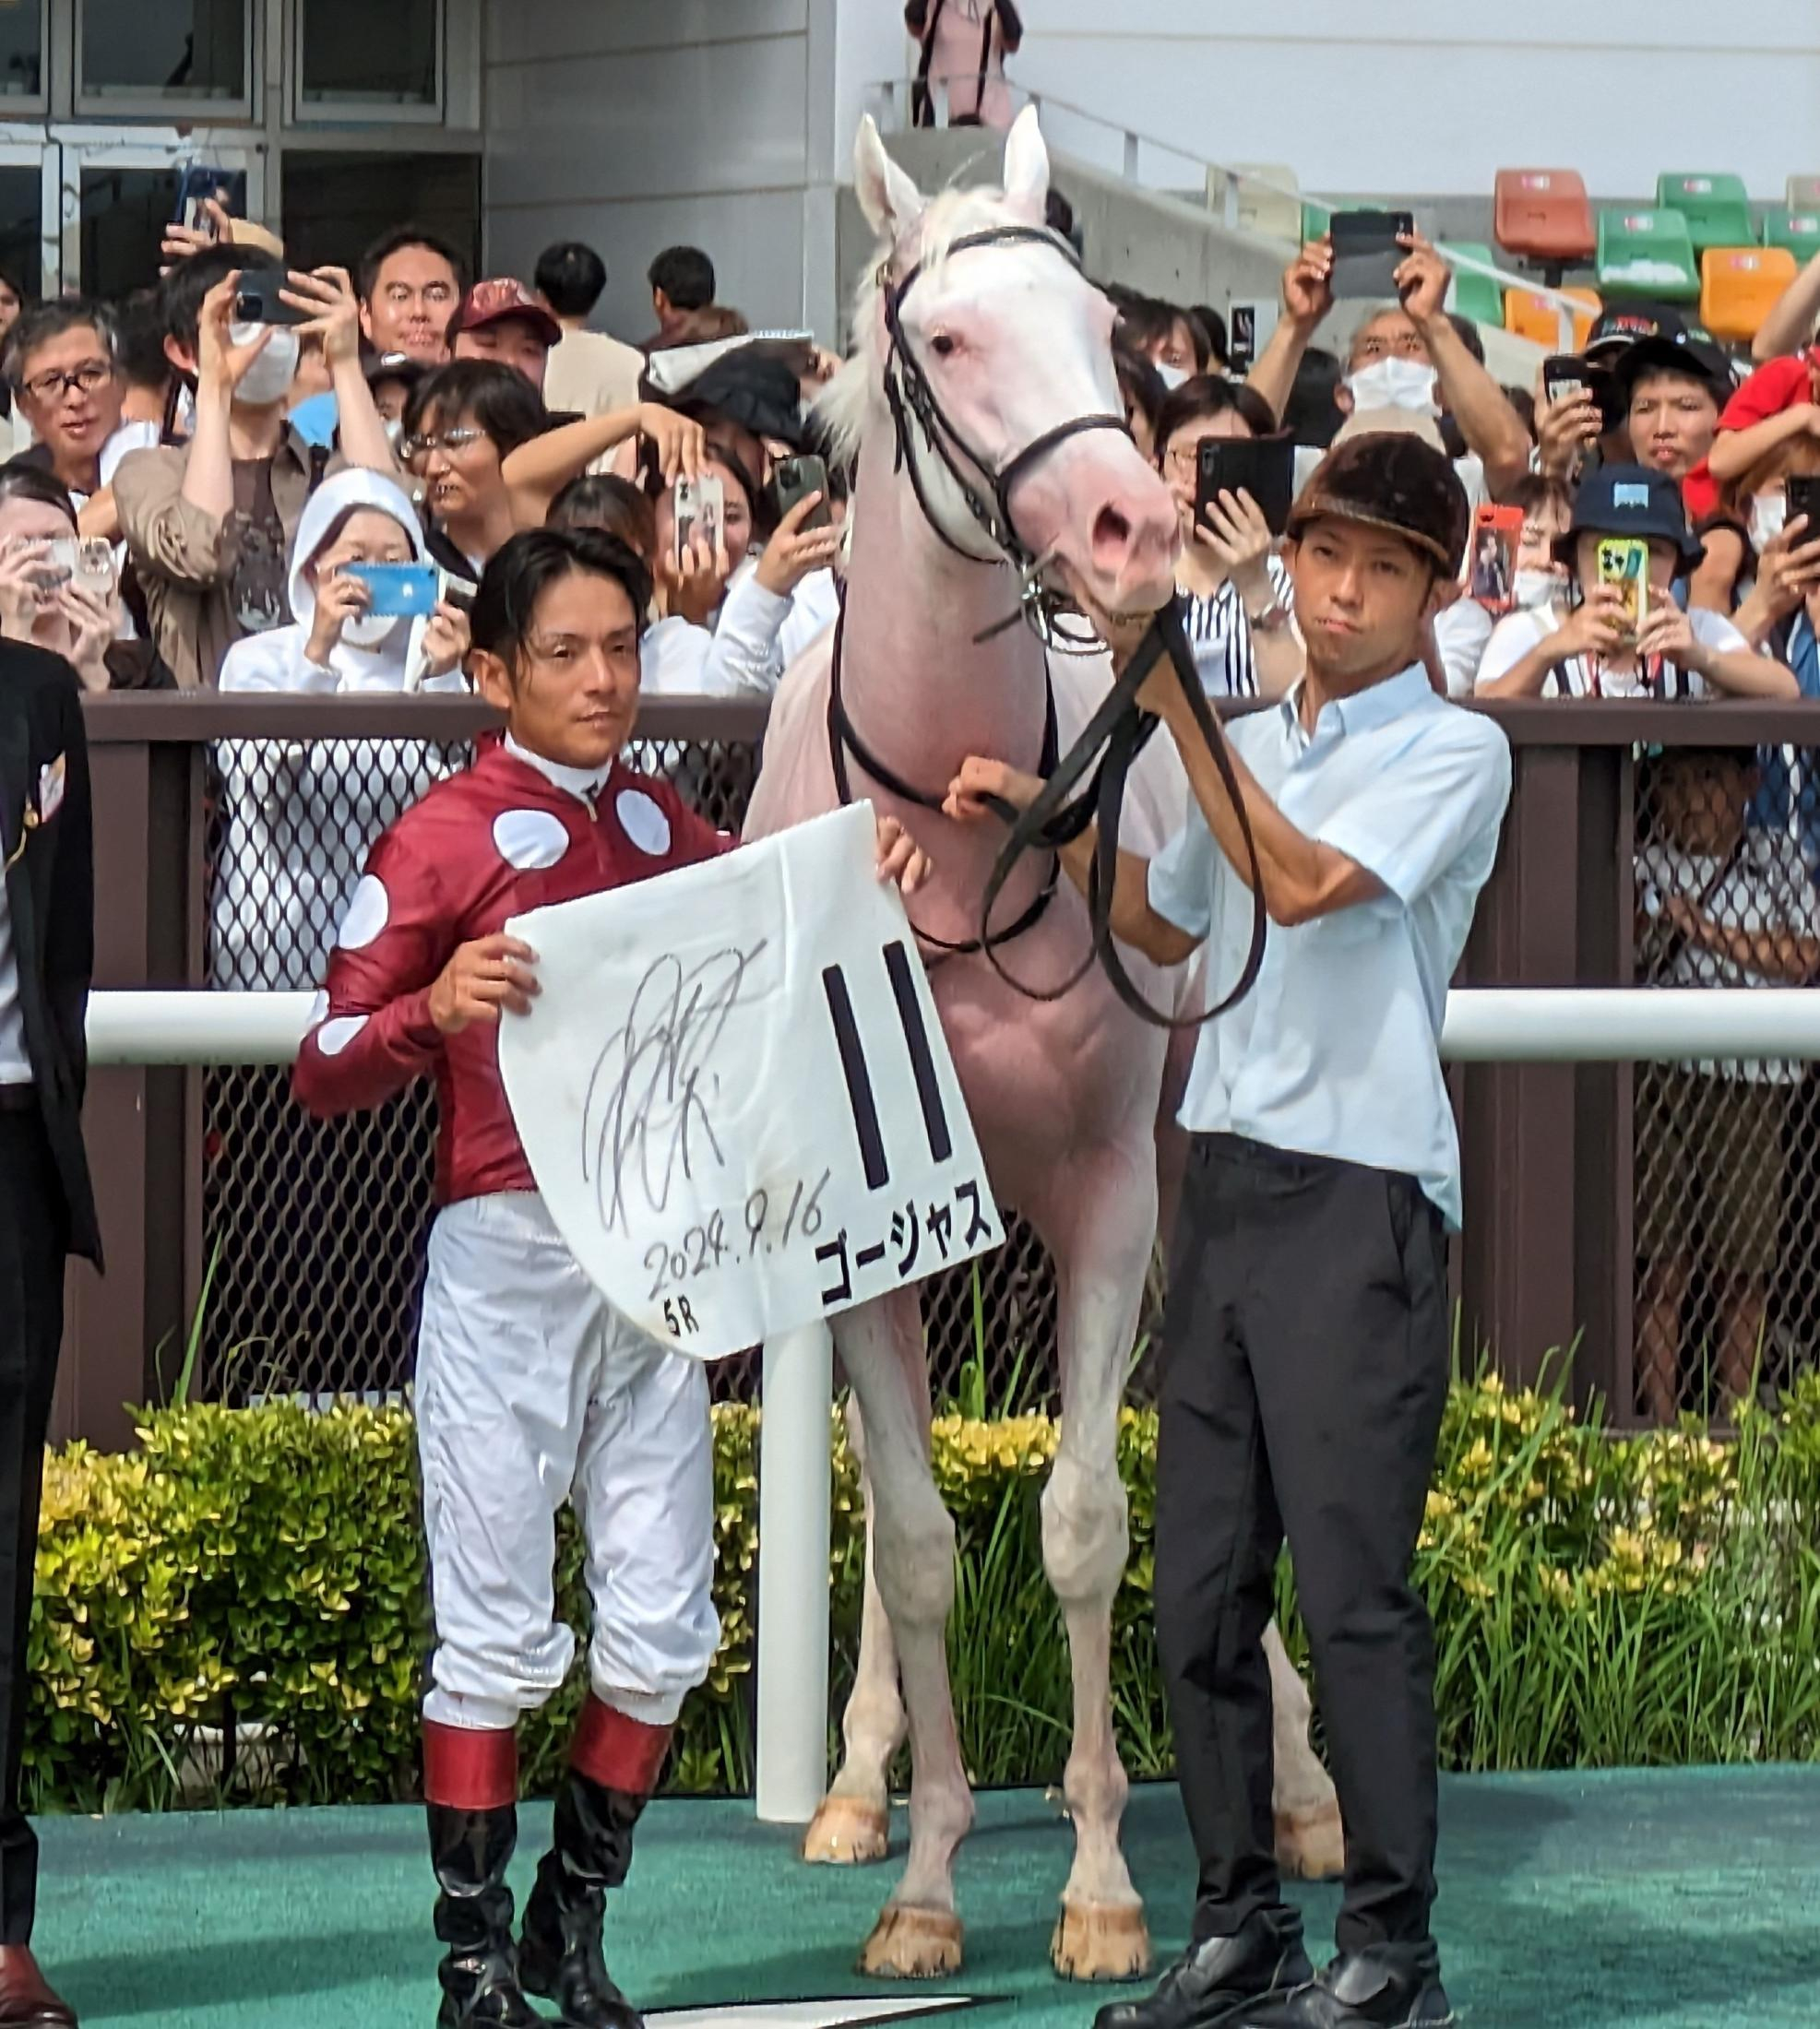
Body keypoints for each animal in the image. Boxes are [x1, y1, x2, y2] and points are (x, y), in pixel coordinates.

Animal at [734, 114, 1330, 1980]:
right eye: (943, 340)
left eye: (1100, 329)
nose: (1131, 525)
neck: (953, 836)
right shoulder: (871, 1226)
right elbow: (920, 1537)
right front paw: (924, 1877)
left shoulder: (1104, 1189)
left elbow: (1082, 1521)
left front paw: (1102, 1881)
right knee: (880, 1495)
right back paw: (854, 1782)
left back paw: (1297, 1777)